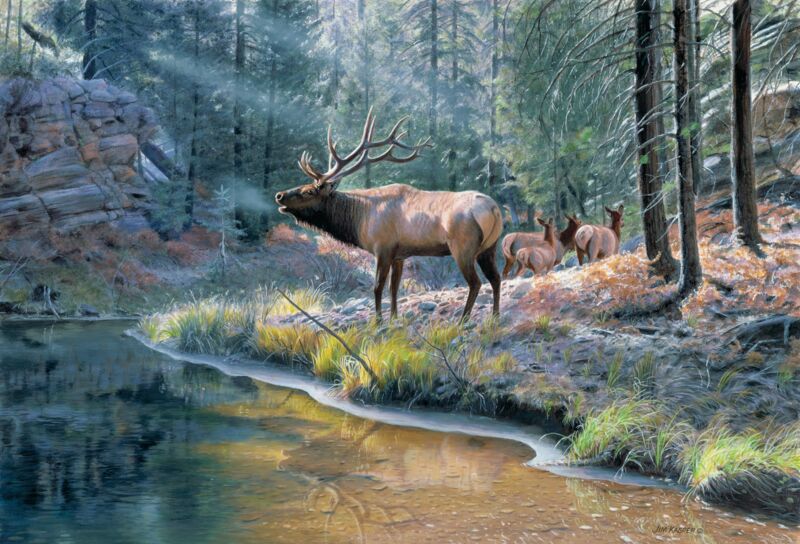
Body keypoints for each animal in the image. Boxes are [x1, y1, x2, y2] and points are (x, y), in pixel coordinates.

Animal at [274, 109, 503, 322]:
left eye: (308, 191)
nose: (279, 195)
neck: (360, 219)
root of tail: (493, 209)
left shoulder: (382, 248)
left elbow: (377, 287)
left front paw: (378, 321)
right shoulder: (399, 254)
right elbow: (394, 288)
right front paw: (393, 318)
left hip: (463, 247)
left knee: (476, 282)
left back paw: (462, 321)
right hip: (489, 248)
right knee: (496, 278)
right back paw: (494, 317)